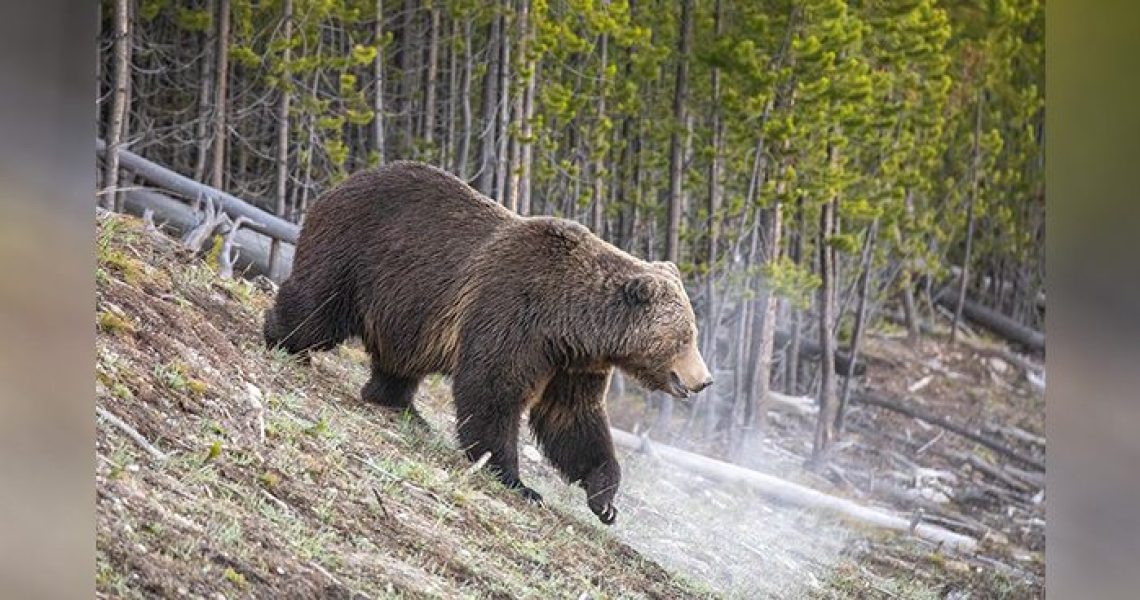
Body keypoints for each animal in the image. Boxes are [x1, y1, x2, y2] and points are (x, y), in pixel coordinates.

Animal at [266, 161, 711, 524]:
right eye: (686, 337)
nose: (704, 380)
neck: (573, 321)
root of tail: (340, 183)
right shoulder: (516, 314)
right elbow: (493, 389)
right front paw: (517, 480)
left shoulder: (572, 362)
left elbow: (573, 418)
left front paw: (604, 497)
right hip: (358, 252)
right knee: (318, 307)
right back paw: (280, 338)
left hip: (406, 308)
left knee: (400, 358)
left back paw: (400, 404)